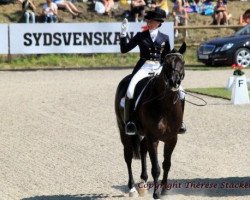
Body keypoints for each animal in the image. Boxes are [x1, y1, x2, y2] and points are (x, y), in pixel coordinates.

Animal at [114, 42, 187, 198]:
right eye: (167, 63)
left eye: (182, 62)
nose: (174, 82)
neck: (165, 105)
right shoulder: (153, 137)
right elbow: (156, 168)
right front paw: (156, 194)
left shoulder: (172, 138)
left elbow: (166, 164)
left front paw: (164, 190)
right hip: (124, 131)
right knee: (128, 156)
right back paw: (132, 189)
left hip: (144, 134)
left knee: (142, 150)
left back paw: (143, 183)